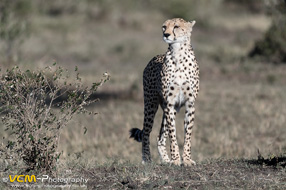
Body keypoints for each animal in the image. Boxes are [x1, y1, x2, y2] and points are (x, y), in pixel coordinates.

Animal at [130, 18, 199, 166]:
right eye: (164, 27)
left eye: (176, 26)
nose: (166, 34)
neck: (178, 53)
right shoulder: (170, 103)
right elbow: (173, 135)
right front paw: (176, 159)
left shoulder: (190, 103)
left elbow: (188, 134)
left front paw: (186, 159)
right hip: (151, 104)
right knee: (147, 133)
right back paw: (147, 159)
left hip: (170, 109)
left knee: (159, 136)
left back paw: (166, 160)